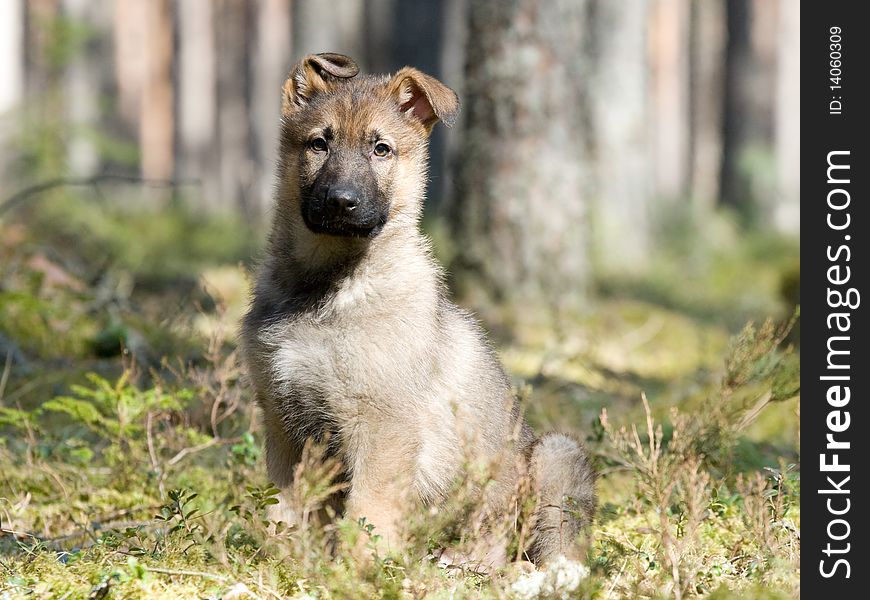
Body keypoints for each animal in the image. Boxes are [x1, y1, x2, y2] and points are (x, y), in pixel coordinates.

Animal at [242, 52, 596, 568]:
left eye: (381, 149)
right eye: (319, 144)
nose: (341, 202)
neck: (327, 286)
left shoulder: (381, 425)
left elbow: (368, 511)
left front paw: (357, 570)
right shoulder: (283, 418)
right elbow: (285, 507)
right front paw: (286, 561)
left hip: (557, 456)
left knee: (543, 550)